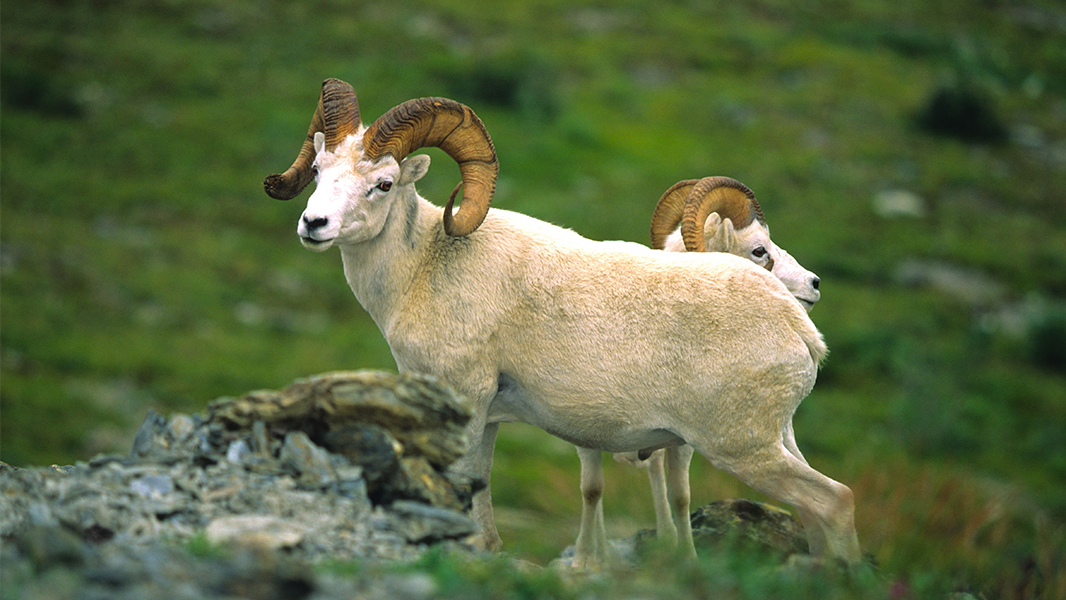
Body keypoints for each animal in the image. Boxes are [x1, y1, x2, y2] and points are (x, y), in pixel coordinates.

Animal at [575, 176, 822, 566]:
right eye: (759, 250)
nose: (814, 283)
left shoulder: (683, 440)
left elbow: (680, 496)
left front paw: (685, 557)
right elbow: (591, 491)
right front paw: (587, 563)